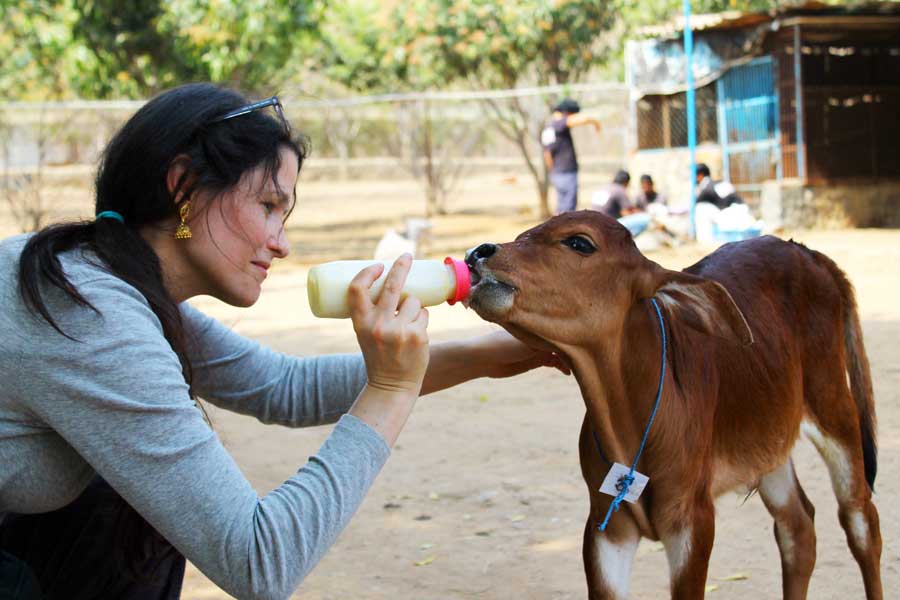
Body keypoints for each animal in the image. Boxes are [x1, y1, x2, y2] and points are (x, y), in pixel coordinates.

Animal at [464, 212, 880, 600]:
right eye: (523, 234)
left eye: (580, 242)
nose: (477, 253)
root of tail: (809, 253)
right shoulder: (605, 526)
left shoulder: (692, 520)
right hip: (771, 441)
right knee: (798, 525)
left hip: (834, 406)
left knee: (861, 521)